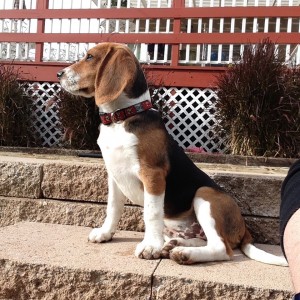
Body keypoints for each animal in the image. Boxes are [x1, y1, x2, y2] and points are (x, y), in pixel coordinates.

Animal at [56, 41, 288, 264]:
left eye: (90, 57)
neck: (120, 118)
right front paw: (105, 233)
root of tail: (243, 226)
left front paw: (150, 247)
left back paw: (183, 253)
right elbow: (113, 207)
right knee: (201, 239)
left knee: (222, 248)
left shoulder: (153, 175)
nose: (59, 74)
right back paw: (174, 245)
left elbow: (151, 212)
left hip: (205, 195)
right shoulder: (114, 175)